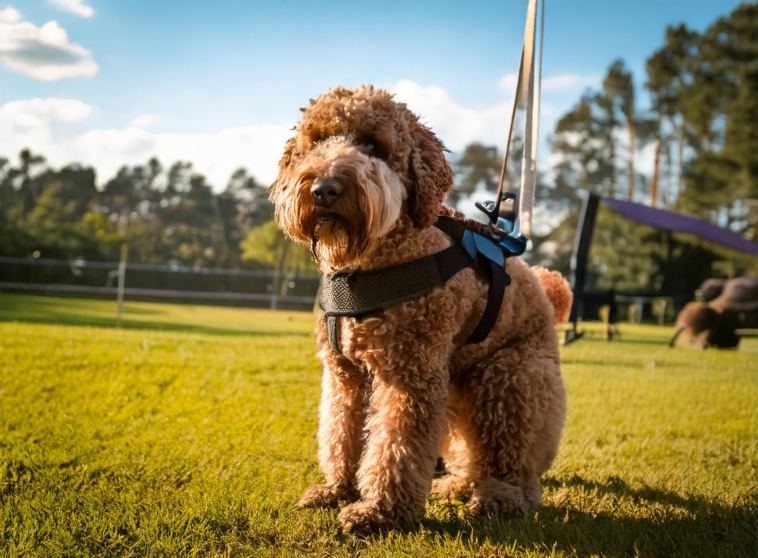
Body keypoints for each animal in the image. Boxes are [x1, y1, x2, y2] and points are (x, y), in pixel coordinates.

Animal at [270, 84, 572, 540]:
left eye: (373, 145)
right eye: (317, 141)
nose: (324, 188)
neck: (369, 263)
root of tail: (547, 290)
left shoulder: (409, 375)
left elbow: (396, 447)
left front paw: (380, 513)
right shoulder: (345, 376)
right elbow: (342, 433)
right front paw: (337, 489)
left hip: (510, 381)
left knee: (514, 463)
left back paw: (501, 497)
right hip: (457, 394)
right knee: (468, 453)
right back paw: (455, 485)